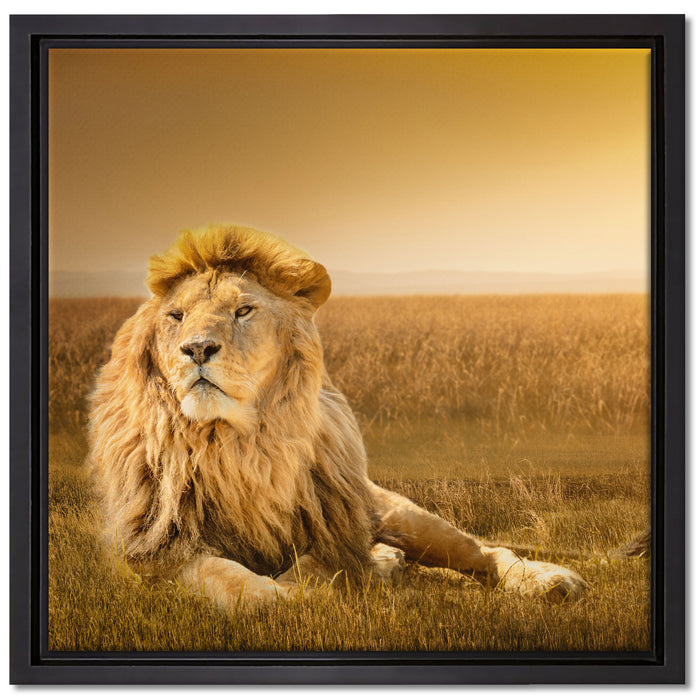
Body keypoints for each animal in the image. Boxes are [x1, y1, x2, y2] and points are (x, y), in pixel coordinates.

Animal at [88, 224, 587, 608]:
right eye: (176, 316)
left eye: (243, 310)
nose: (196, 349)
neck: (236, 445)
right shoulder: (153, 549)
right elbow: (228, 579)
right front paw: (281, 597)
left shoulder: (334, 528)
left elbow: (316, 566)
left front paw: (329, 581)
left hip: (398, 513)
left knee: (484, 551)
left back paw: (550, 580)